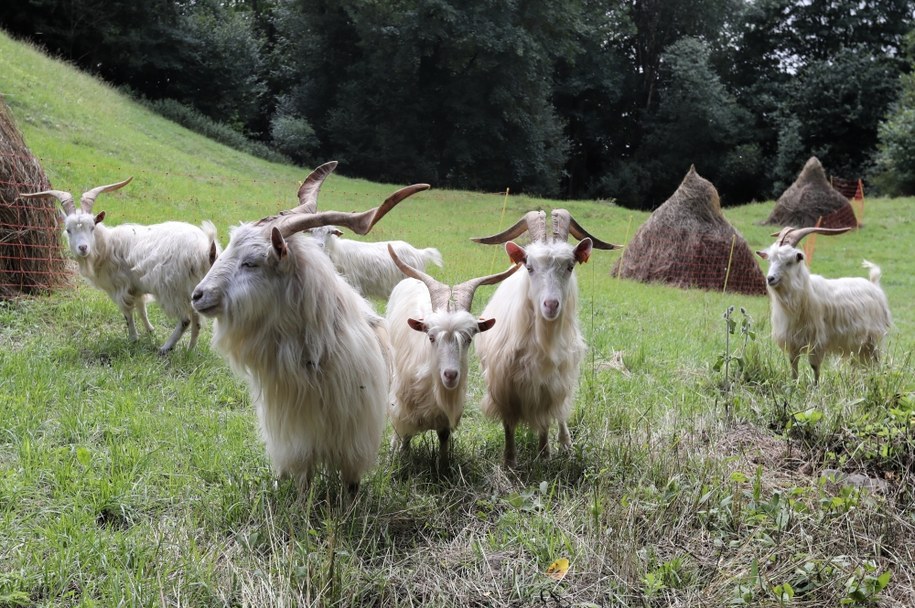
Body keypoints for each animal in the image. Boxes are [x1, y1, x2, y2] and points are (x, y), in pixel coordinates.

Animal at [20, 176, 221, 354]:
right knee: (196, 320)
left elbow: (127, 313)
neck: (107, 247)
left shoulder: (121, 287)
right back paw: (190, 350)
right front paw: (150, 330)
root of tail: (206, 248)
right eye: (68, 230)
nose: (83, 248)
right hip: (192, 290)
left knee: (186, 319)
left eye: (92, 227)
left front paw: (133, 338)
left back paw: (166, 348)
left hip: (173, 289)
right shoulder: (136, 287)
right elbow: (142, 309)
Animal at [191, 163, 428, 494]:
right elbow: (304, 480)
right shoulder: (297, 435)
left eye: (251, 263)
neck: (316, 350)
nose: (197, 295)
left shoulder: (354, 435)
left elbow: (350, 484)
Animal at [382, 242, 520, 470]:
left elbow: (444, 437)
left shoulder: (446, 415)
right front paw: (401, 459)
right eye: (431, 337)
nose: (450, 375)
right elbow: (405, 435)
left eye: (469, 339)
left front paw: (444, 467)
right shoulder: (404, 403)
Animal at [472, 209, 624, 466]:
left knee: (560, 414)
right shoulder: (503, 385)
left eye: (570, 266)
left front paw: (544, 454)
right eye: (529, 267)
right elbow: (508, 425)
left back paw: (566, 443)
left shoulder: (550, 386)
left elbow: (546, 420)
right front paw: (509, 461)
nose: (551, 305)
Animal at [760, 226, 896, 382]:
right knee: (857, 364)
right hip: (858, 344)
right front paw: (793, 384)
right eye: (770, 260)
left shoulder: (817, 341)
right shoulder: (793, 340)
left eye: (789, 261)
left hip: (873, 339)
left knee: (875, 362)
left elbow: (815, 368)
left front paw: (815, 387)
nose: (770, 278)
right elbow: (793, 366)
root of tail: (874, 286)